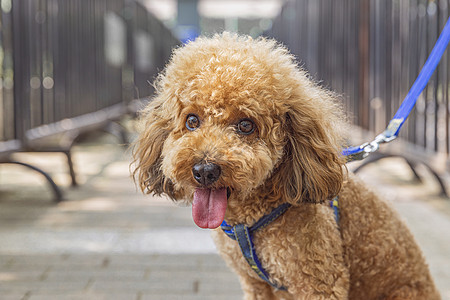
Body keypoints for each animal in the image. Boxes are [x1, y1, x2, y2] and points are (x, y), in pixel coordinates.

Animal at [132, 34, 442, 298]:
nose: (205, 170)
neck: (251, 220)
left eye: (246, 125)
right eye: (192, 121)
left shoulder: (319, 281)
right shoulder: (255, 284)